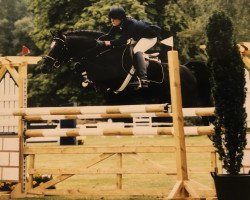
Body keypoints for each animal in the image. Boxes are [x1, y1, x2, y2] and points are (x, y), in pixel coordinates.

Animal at [40, 29, 212, 107]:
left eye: (57, 48)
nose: (44, 67)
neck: (99, 53)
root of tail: (189, 71)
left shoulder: (113, 77)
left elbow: (98, 78)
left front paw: (89, 81)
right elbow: (80, 67)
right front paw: (85, 79)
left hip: (189, 100)